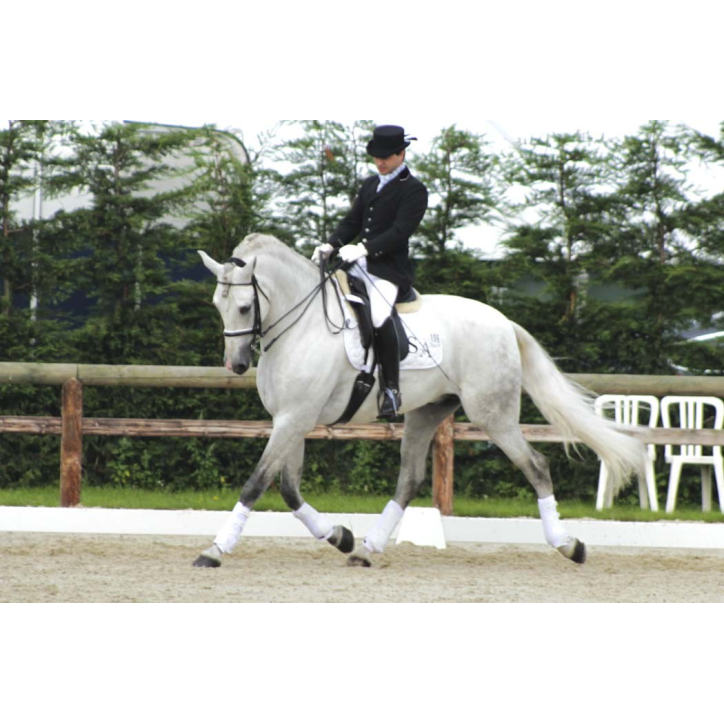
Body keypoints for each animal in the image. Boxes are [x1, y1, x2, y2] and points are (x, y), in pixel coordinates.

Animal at [193, 233, 647, 568]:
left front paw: (215, 550)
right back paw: (365, 549)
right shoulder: (291, 420)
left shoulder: (295, 419)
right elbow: (288, 489)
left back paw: (569, 545)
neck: (301, 326)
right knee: (410, 478)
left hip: (492, 414)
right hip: (428, 412)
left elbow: (256, 483)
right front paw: (340, 536)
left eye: (245, 306)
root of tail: (503, 322)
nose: (235, 364)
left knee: (535, 465)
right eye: (216, 304)